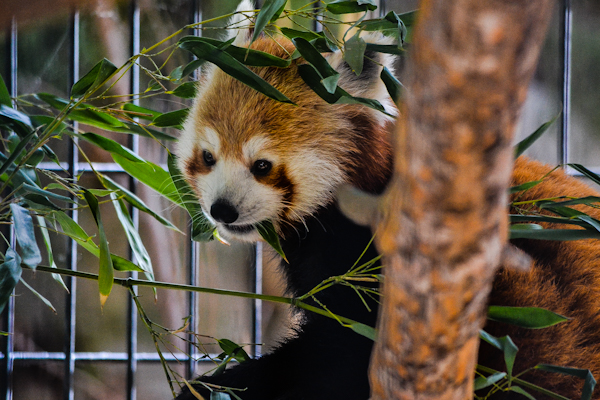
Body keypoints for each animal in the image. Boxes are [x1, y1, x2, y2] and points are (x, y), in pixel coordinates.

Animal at [173, 3, 600, 400]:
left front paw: (224, 385)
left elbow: (341, 356)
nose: (222, 210)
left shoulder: (373, 257)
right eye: (208, 157)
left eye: (262, 165)